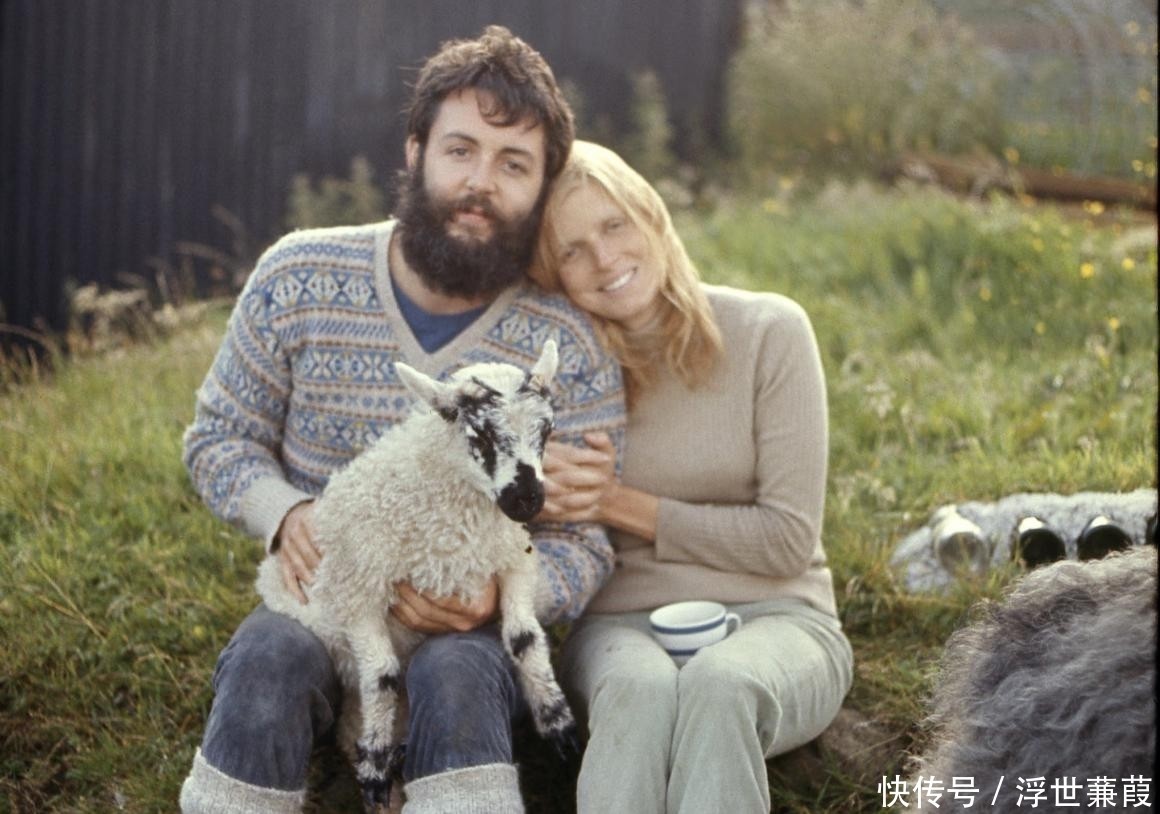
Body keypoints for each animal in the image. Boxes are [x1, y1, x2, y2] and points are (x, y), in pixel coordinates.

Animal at [254, 340, 574, 810]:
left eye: (547, 430)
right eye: (479, 436)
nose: (527, 500)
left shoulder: (513, 561)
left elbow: (524, 638)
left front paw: (557, 722)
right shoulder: (358, 589)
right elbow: (383, 674)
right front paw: (374, 764)